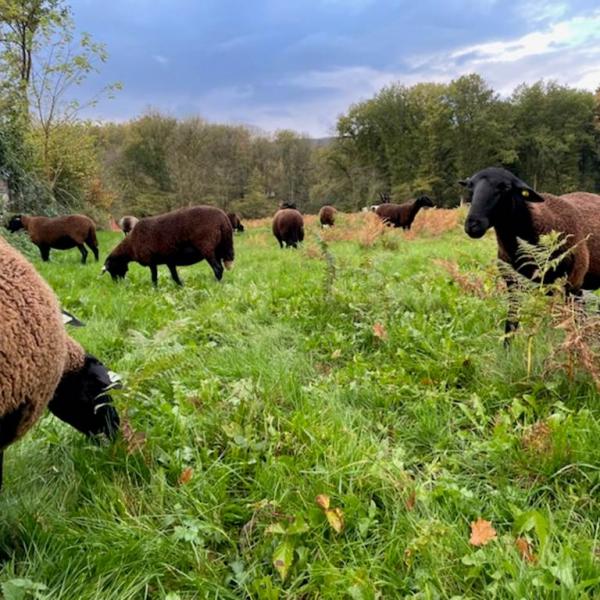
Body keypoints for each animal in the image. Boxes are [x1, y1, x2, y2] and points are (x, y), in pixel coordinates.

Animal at [103, 206, 234, 286]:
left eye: (112, 269)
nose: (117, 285)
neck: (131, 245)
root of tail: (224, 219)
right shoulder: (169, 260)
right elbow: (175, 276)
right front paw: (181, 287)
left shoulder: (151, 261)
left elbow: (154, 278)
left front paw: (155, 291)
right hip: (218, 249)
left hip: (207, 247)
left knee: (218, 268)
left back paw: (214, 283)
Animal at [462, 166, 600, 340]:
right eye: (470, 187)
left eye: (505, 187)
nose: (473, 224)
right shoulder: (512, 283)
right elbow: (511, 323)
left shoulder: (573, 283)